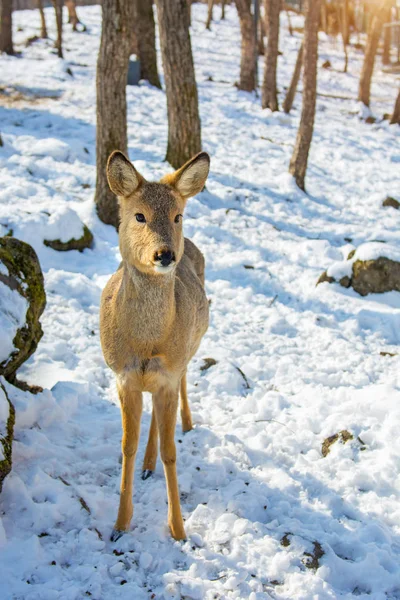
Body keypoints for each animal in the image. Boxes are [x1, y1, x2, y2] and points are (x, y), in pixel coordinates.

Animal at [100, 151, 211, 544]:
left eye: (178, 215)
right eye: (139, 215)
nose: (165, 254)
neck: (146, 342)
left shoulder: (168, 374)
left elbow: (170, 452)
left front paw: (178, 530)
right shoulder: (123, 376)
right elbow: (126, 446)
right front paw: (119, 525)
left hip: (190, 351)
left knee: (184, 385)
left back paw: (188, 424)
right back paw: (147, 466)